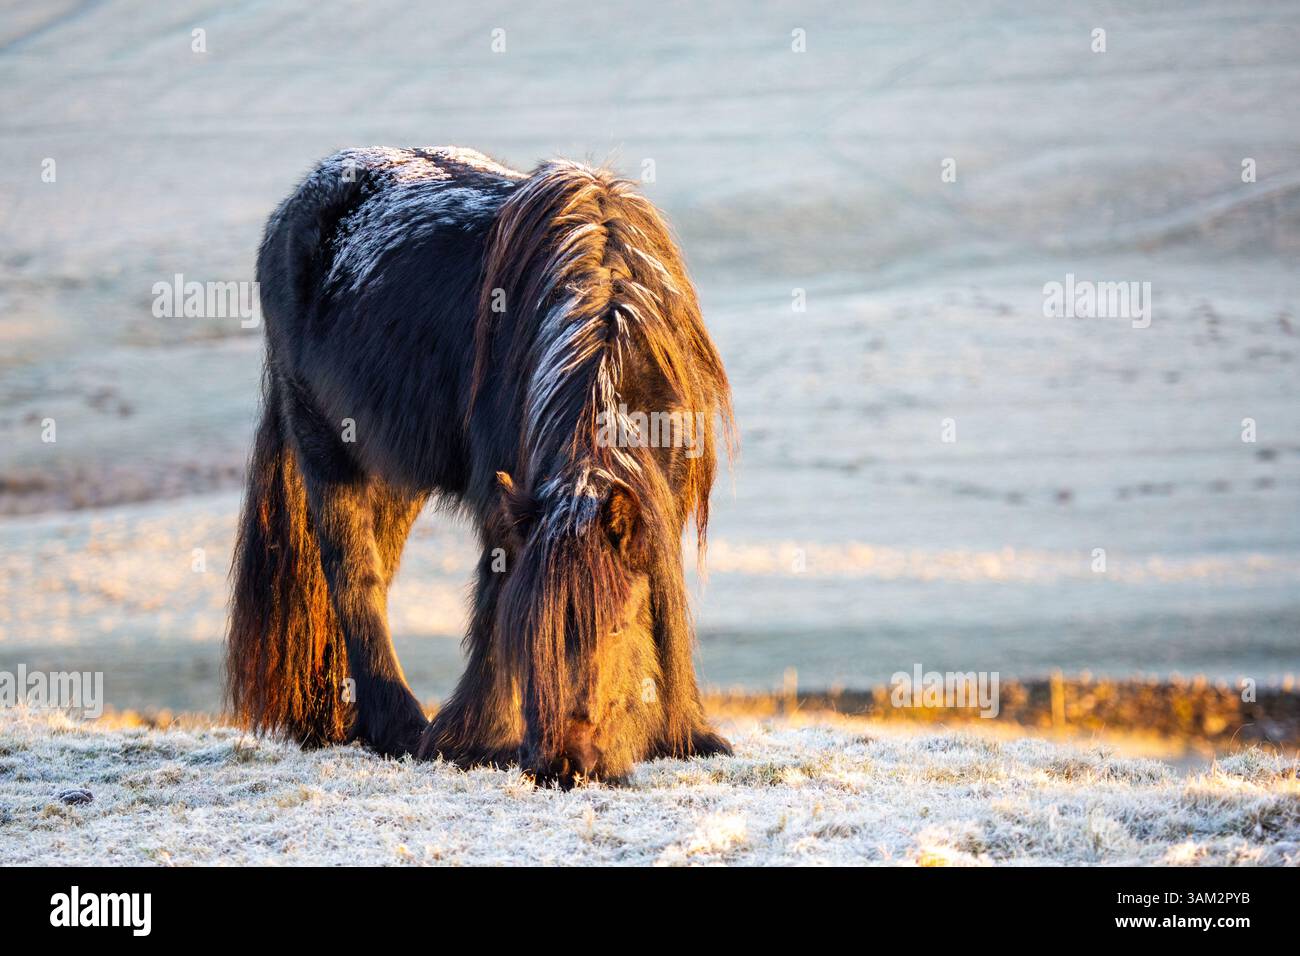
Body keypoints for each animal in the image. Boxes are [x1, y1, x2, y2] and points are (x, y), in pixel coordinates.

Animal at [226, 147, 735, 787]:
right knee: (353, 575)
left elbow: (665, 597)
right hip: (324, 447)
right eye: (533, 630)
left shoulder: (663, 499)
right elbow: (492, 610)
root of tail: (295, 209)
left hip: (390, 475)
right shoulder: (506, 503)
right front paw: (474, 739)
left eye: (616, 625)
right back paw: (396, 727)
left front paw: (686, 735)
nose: (567, 765)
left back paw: (341, 721)